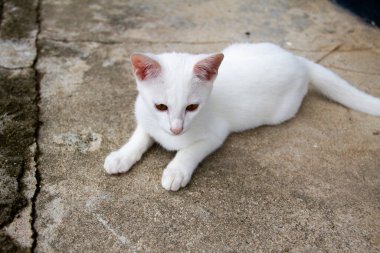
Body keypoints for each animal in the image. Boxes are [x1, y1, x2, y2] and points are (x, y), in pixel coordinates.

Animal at [103, 42, 380, 191]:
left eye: (192, 107)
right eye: (160, 106)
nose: (176, 130)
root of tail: (299, 60)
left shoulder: (215, 135)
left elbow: (189, 151)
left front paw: (177, 170)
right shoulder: (145, 116)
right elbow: (140, 136)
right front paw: (122, 156)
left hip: (283, 111)